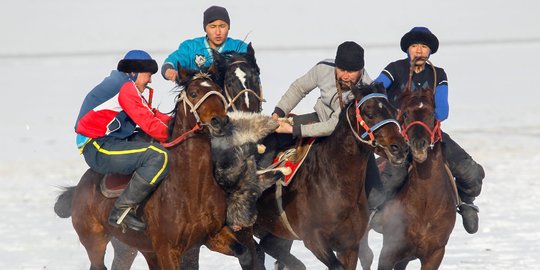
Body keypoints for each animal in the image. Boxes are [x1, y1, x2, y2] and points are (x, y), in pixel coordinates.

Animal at [54, 66, 264, 268]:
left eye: (219, 91)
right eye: (194, 93)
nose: (220, 121)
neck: (192, 189)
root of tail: (79, 188)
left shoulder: (212, 236)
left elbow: (245, 254)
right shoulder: (167, 250)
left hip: (136, 248)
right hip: (96, 243)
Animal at [360, 87, 458, 268]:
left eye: (432, 113)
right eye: (405, 114)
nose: (418, 145)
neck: (425, 204)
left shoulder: (435, 254)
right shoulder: (390, 251)